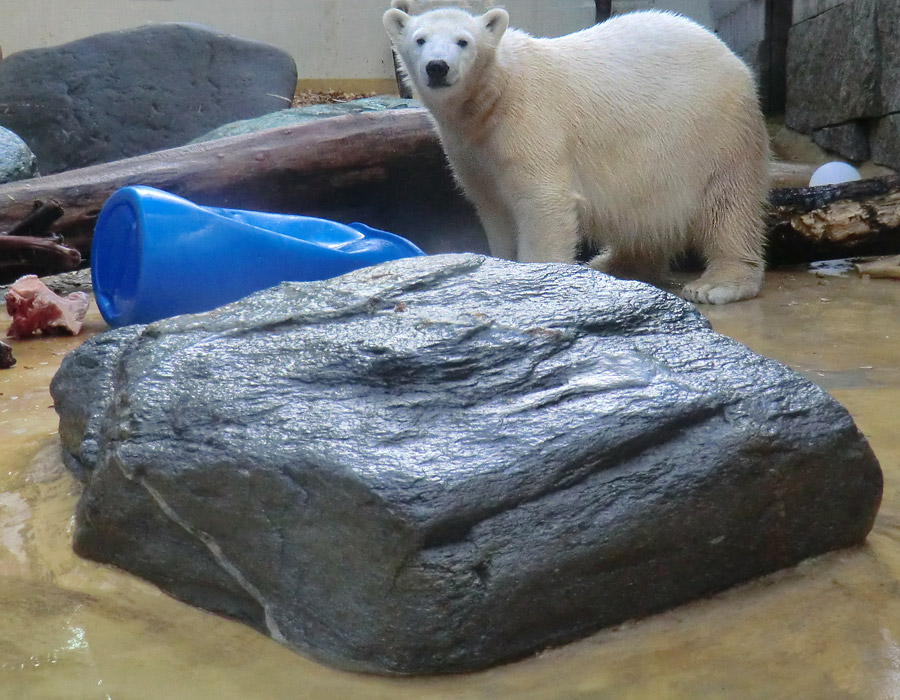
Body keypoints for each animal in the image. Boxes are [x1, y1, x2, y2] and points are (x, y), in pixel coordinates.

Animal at [384, 3, 768, 304]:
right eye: (419, 39)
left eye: (463, 41)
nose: (437, 66)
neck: (493, 94)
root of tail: (728, 53)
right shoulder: (471, 148)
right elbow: (494, 208)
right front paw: (500, 267)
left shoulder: (530, 122)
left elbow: (543, 202)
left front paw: (538, 277)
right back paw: (611, 264)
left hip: (715, 132)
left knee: (728, 205)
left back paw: (718, 283)